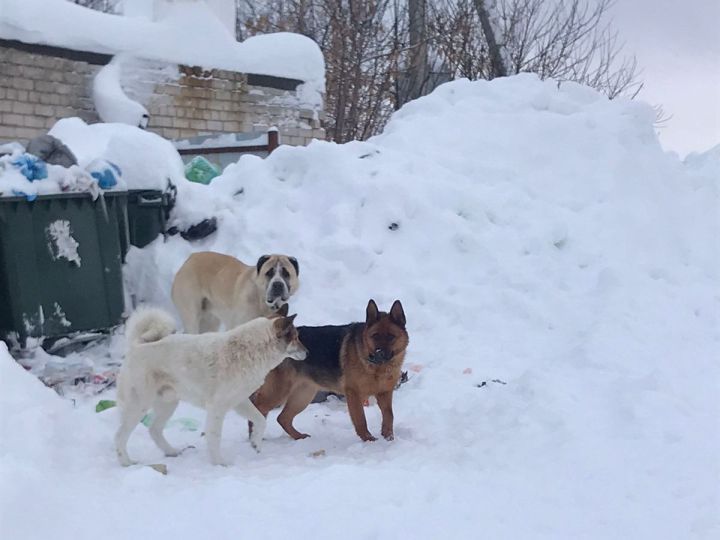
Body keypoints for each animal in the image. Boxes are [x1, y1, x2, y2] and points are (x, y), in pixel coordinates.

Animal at [115, 306, 306, 466]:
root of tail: (137, 346)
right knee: (120, 435)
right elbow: (214, 437)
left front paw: (256, 444)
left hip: (168, 404)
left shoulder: (240, 402)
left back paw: (172, 452)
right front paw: (220, 463)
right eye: (296, 337)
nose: (308, 352)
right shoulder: (217, 407)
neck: (252, 349)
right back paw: (126, 462)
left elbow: (260, 420)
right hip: (138, 405)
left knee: (154, 429)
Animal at [250, 300, 408, 442]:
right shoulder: (354, 394)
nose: (379, 354)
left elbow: (389, 415)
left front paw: (388, 436)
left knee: (283, 418)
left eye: (391, 337)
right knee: (259, 407)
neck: (378, 368)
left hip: (304, 394)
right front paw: (368, 439)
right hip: (279, 392)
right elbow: (361, 419)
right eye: (375, 336)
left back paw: (298, 437)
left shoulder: (384, 393)